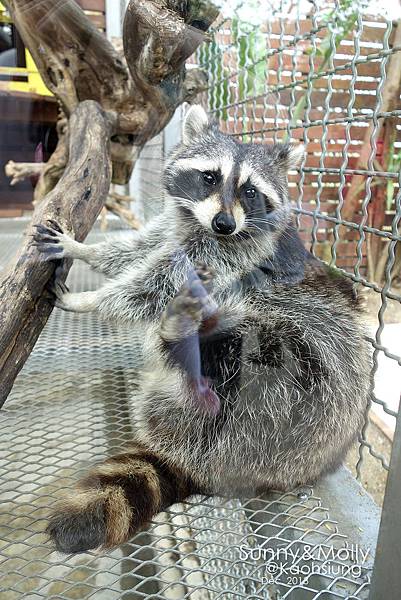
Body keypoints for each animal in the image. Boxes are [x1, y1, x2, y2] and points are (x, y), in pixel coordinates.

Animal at [33, 106, 368, 552]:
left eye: (250, 191)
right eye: (210, 177)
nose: (224, 222)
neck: (207, 227)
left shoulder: (233, 255)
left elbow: (156, 284)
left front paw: (93, 300)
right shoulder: (180, 224)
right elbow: (139, 251)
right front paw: (86, 250)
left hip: (306, 386)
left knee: (265, 349)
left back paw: (182, 336)